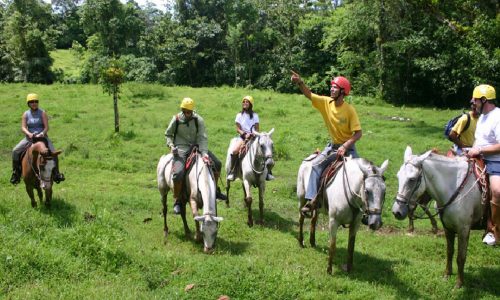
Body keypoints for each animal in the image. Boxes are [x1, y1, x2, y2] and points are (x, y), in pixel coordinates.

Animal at [392, 145, 486, 288]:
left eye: (412, 179)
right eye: (398, 176)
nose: (396, 211)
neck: (455, 187)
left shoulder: (464, 229)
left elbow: (461, 256)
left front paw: (459, 283)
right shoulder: (448, 227)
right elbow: (449, 251)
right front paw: (447, 275)